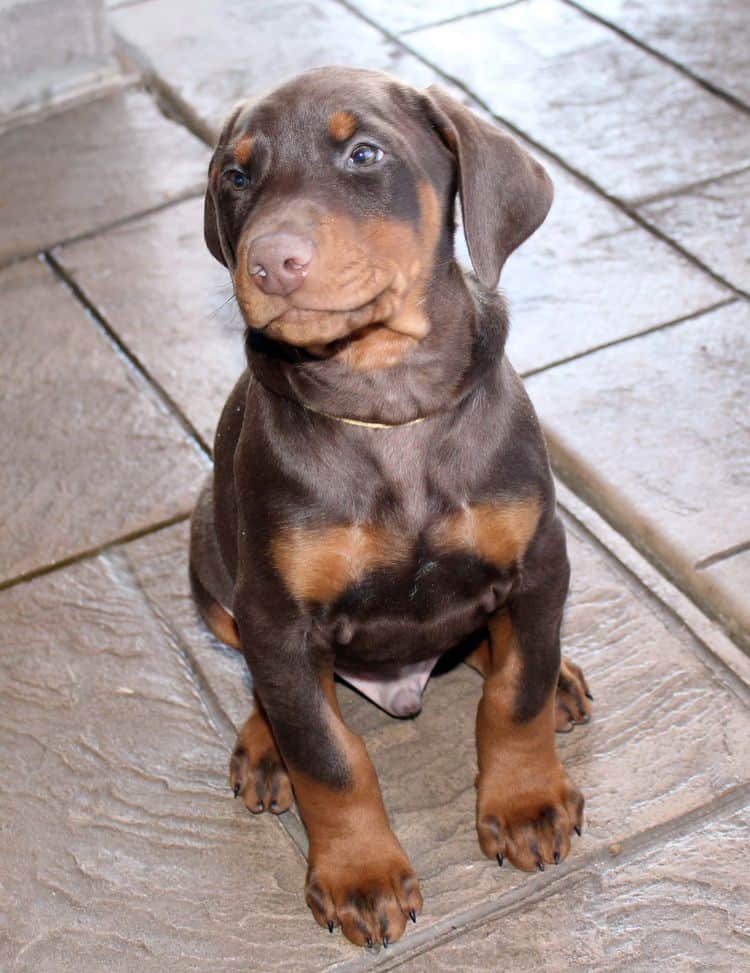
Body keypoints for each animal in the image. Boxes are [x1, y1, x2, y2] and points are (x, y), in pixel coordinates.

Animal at [189, 68, 592, 948]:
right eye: (236, 175)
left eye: (365, 154)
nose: (269, 262)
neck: (386, 402)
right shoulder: (278, 615)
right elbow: (329, 755)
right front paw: (360, 873)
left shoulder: (540, 557)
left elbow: (516, 694)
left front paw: (526, 800)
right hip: (208, 559)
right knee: (276, 687)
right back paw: (264, 745)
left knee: (504, 646)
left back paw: (561, 676)